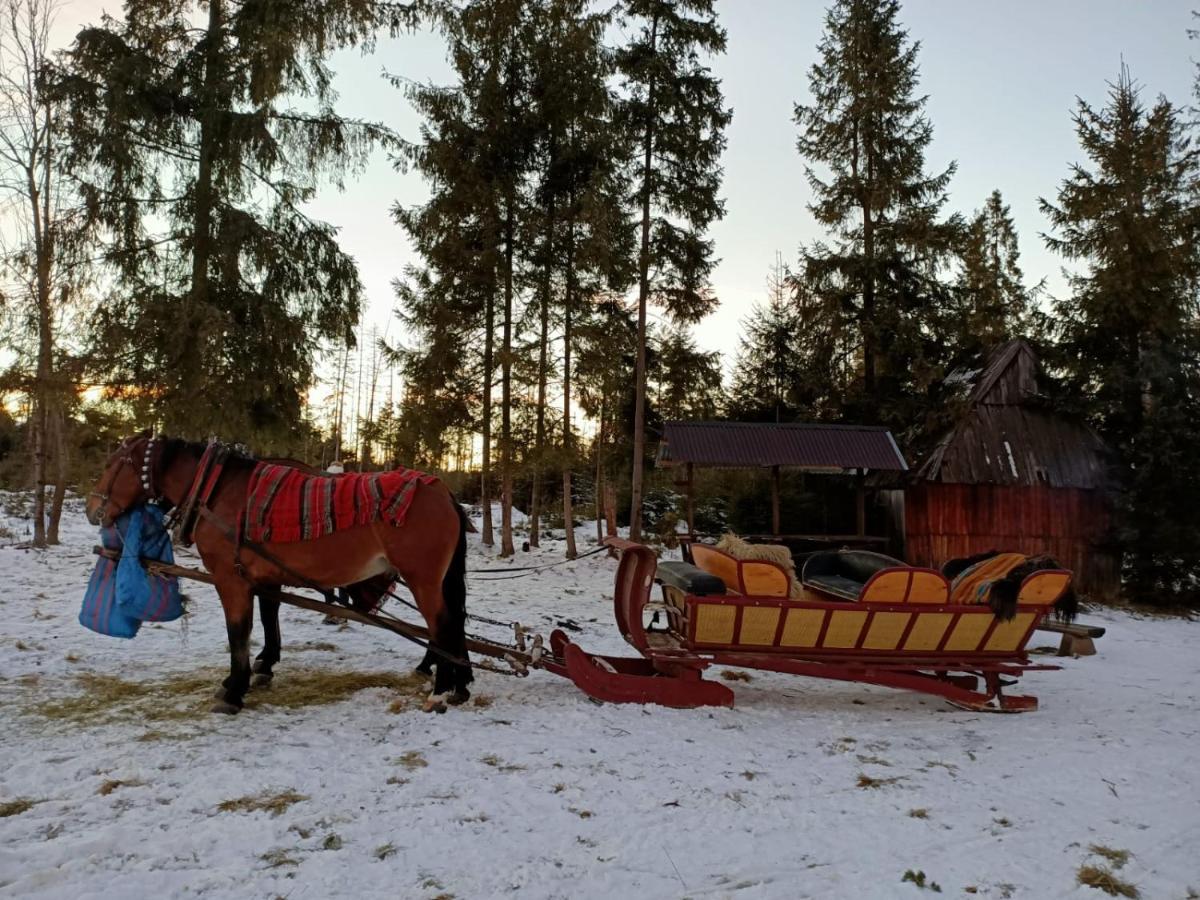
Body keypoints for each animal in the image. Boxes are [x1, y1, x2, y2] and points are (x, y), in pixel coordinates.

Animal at [83, 434, 468, 715]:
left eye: (113, 464)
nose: (91, 508)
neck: (218, 491)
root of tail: (442, 490)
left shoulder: (230, 579)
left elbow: (239, 631)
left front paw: (234, 689)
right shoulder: (265, 578)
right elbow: (269, 619)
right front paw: (261, 667)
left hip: (422, 579)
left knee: (442, 625)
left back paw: (440, 692)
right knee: (454, 623)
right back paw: (459, 684)